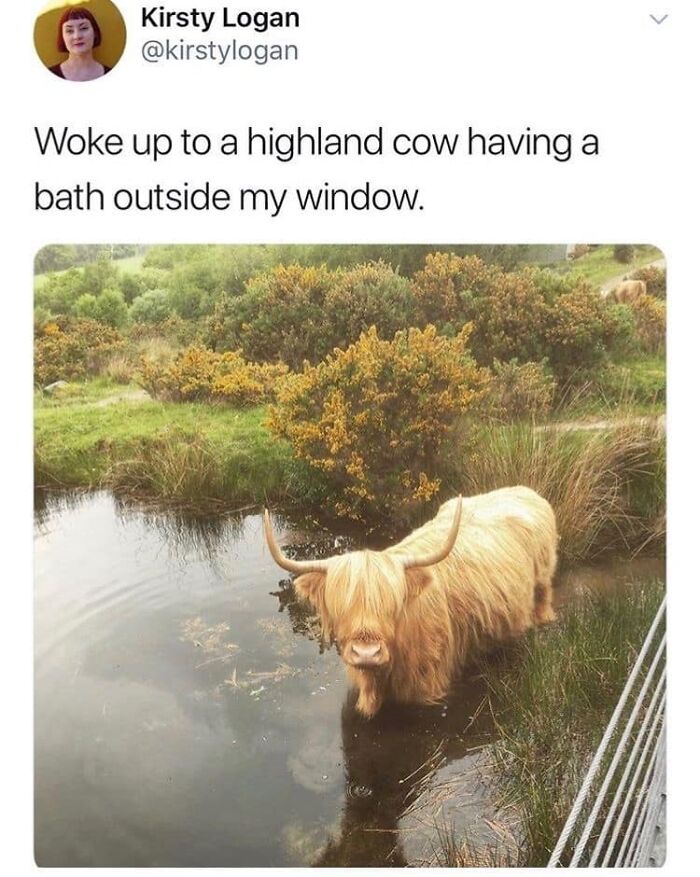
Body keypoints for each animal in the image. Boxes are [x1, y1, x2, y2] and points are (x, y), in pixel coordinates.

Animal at [264, 486, 559, 717]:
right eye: (341, 604)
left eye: (392, 605)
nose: (366, 653)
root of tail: (523, 490)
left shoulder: (427, 681)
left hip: (544, 572)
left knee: (544, 594)